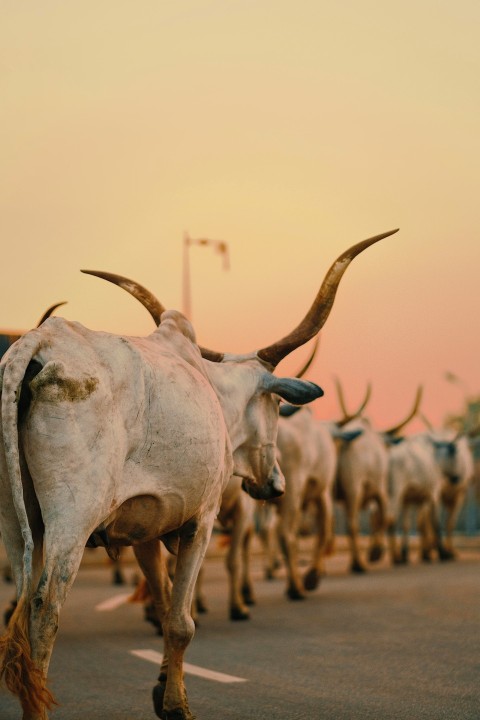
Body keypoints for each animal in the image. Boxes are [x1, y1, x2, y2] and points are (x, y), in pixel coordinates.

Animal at [0, 228, 396, 716]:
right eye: (276, 406)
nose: (275, 484)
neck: (213, 392)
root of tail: (38, 345)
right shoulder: (200, 521)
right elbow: (181, 621)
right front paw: (175, 704)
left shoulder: (143, 530)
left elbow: (164, 600)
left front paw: (162, 686)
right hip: (71, 517)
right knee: (45, 606)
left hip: (16, 520)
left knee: (19, 600)